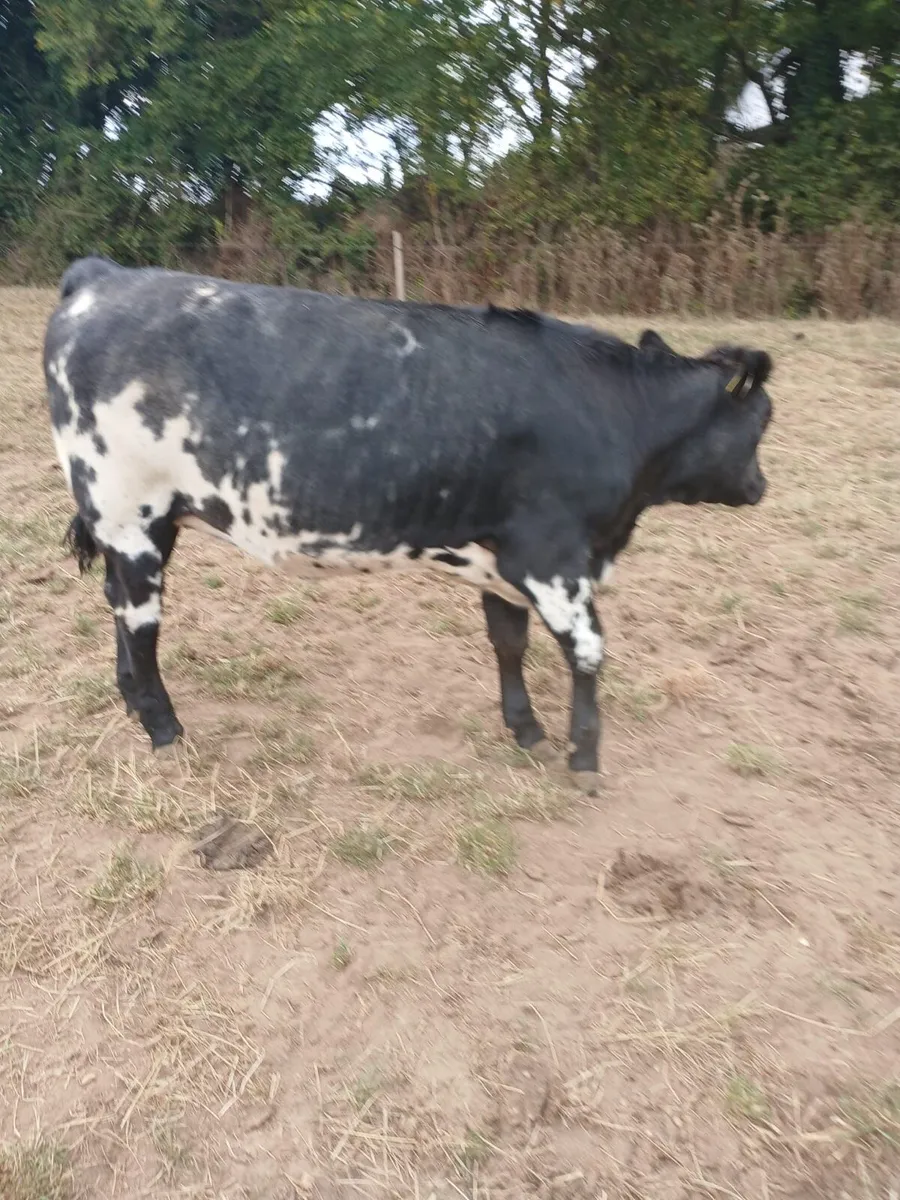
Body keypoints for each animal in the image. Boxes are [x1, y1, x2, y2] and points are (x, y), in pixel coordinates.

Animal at [44, 256, 774, 792]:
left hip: (143, 521)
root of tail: (106, 274)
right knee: (141, 620)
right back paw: (163, 727)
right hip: (130, 513)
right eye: (762, 422)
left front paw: (526, 729)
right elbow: (588, 651)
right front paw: (585, 759)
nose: (761, 487)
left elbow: (508, 641)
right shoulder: (551, 556)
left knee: (117, 606)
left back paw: (132, 702)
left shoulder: (501, 556)